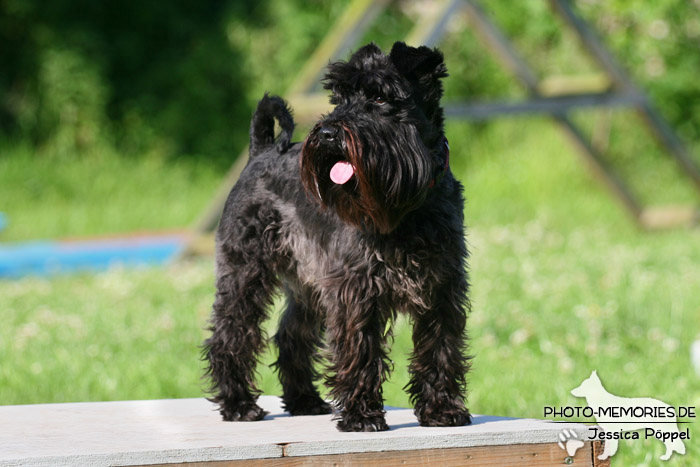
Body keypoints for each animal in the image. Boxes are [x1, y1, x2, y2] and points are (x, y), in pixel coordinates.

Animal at [205, 42, 474, 434]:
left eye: (380, 97)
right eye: (340, 98)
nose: (329, 133)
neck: (409, 208)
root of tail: (262, 150)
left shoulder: (442, 289)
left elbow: (440, 348)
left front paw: (442, 410)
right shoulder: (355, 291)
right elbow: (360, 351)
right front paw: (362, 416)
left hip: (308, 287)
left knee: (290, 336)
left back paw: (305, 401)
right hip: (244, 273)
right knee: (230, 335)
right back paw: (239, 404)